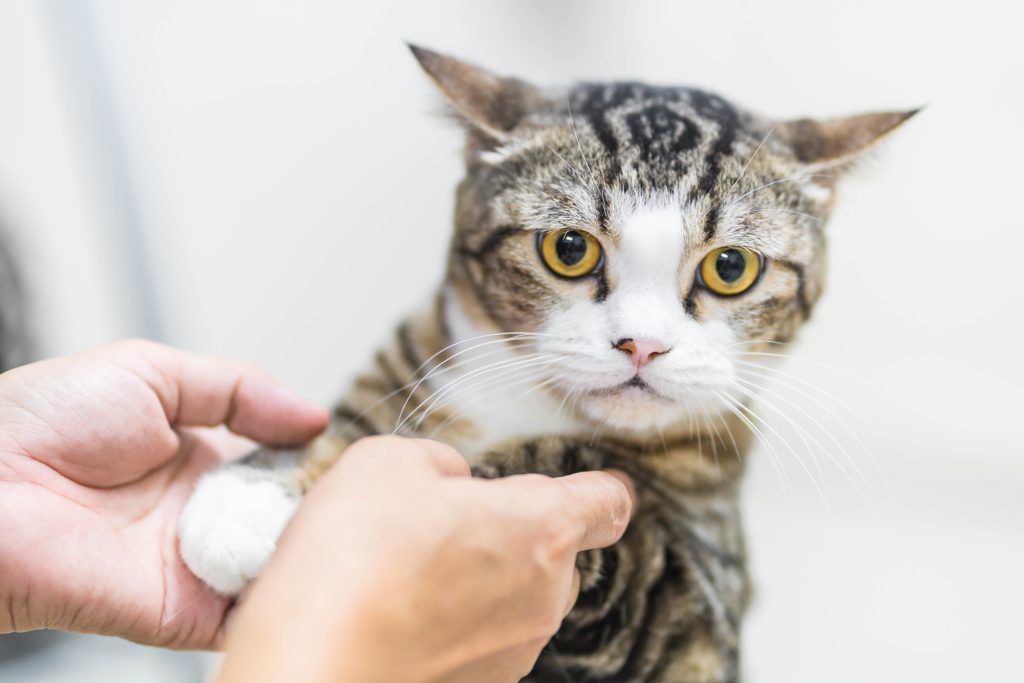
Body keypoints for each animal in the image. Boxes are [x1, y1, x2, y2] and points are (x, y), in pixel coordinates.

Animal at [176, 45, 913, 679]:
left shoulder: (697, 602)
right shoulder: (418, 354)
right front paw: (249, 495)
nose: (642, 344)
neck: (527, 403)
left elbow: (580, 486)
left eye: (731, 267)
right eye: (569, 249)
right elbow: (356, 419)